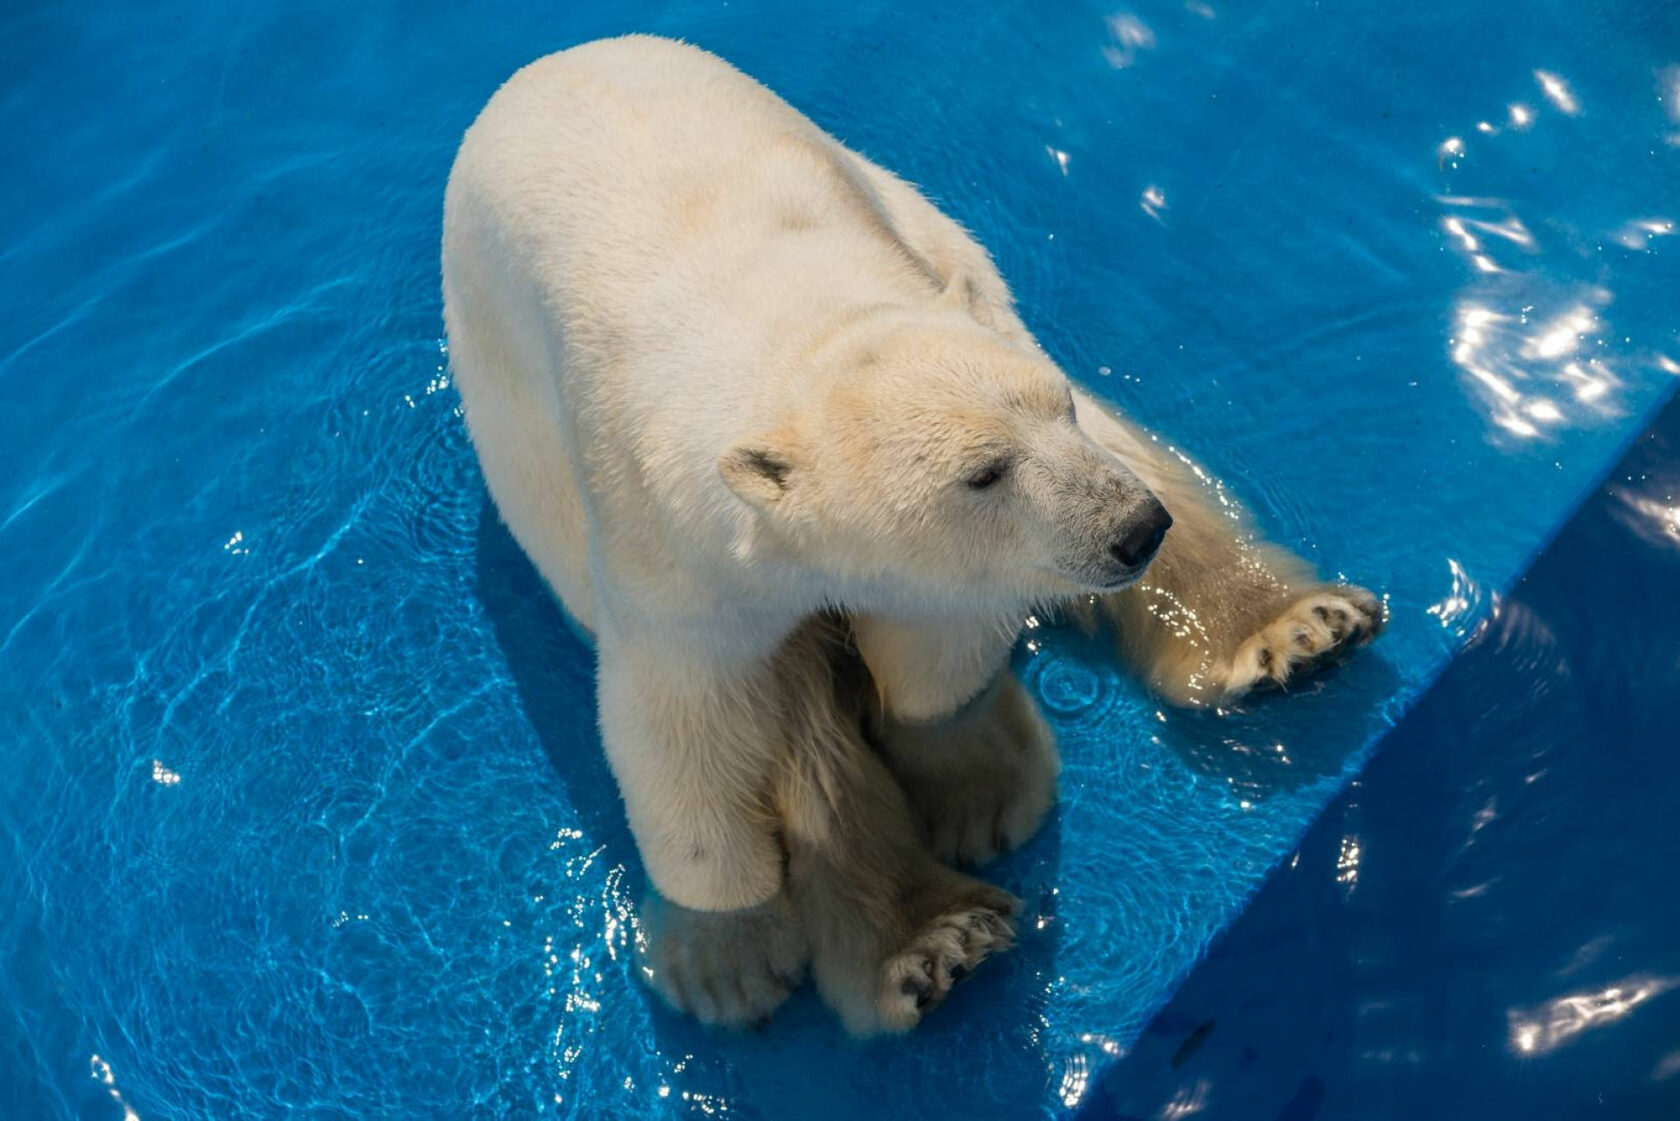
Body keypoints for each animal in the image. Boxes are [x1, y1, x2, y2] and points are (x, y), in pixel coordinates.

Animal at [443, 35, 1377, 1035]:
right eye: (984, 471)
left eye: (1054, 411)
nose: (1134, 532)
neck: (787, 342)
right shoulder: (663, 543)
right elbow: (687, 722)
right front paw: (729, 958)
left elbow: (933, 648)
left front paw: (978, 788)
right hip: (519, 434)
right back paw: (929, 946)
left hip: (926, 223)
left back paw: (1289, 630)